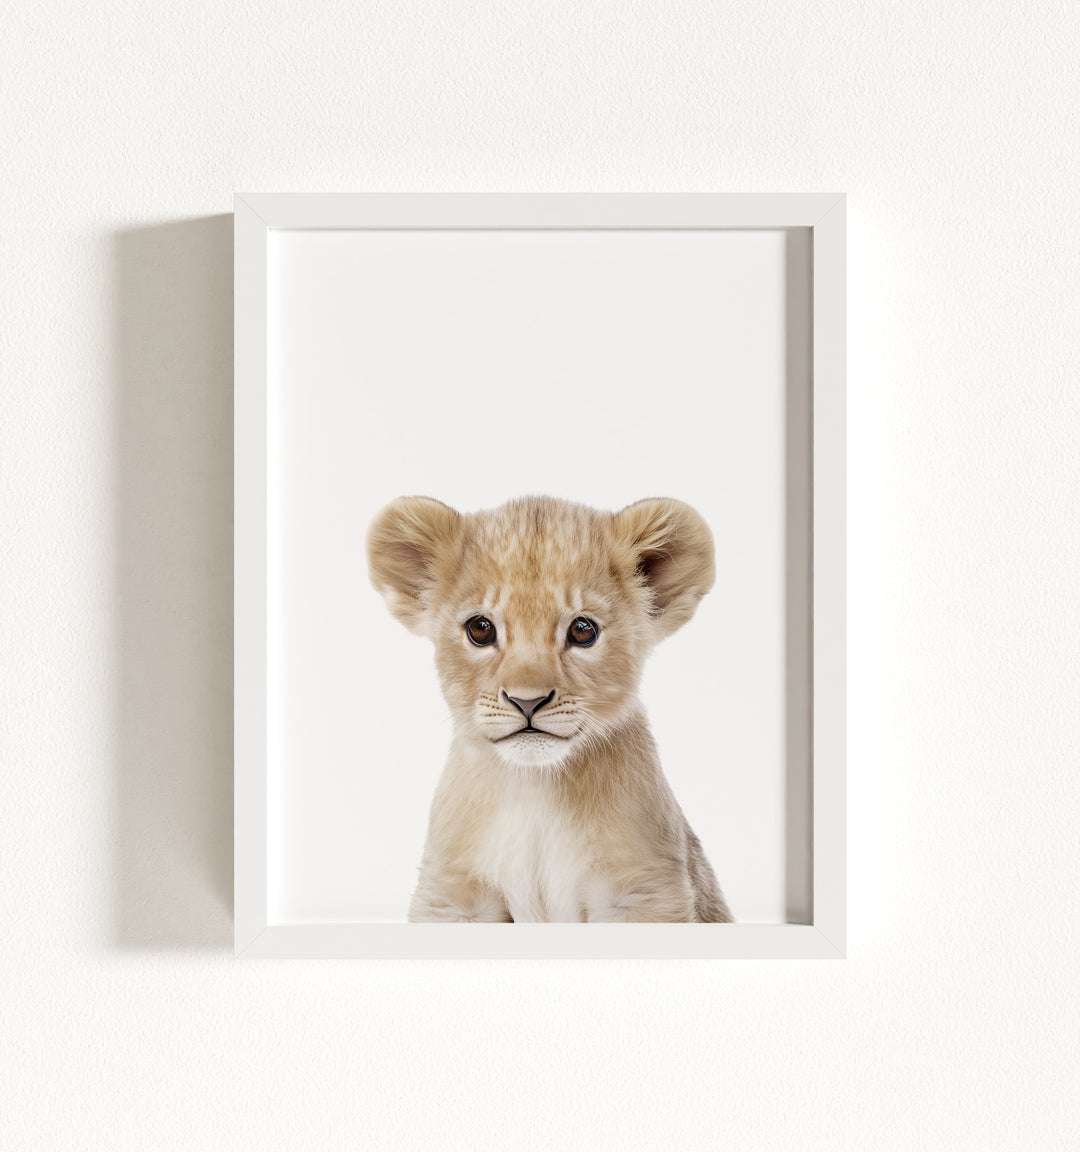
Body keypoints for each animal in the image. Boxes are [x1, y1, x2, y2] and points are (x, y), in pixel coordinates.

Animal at [366, 494, 733, 923]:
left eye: (582, 630)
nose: (527, 701)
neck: (535, 789)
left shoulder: (644, 891)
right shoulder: (452, 897)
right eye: (480, 629)